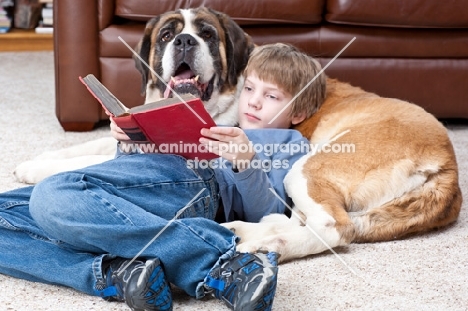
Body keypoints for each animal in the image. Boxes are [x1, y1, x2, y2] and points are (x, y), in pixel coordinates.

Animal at [14, 6, 254, 185]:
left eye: (207, 35)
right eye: (167, 36)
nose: (184, 40)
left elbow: (93, 159)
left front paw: (34, 167)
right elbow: (95, 143)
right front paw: (45, 156)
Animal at [221, 77, 462, 264]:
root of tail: (448, 164)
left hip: (306, 170)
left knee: (333, 226)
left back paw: (267, 245)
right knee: (301, 221)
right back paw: (240, 231)